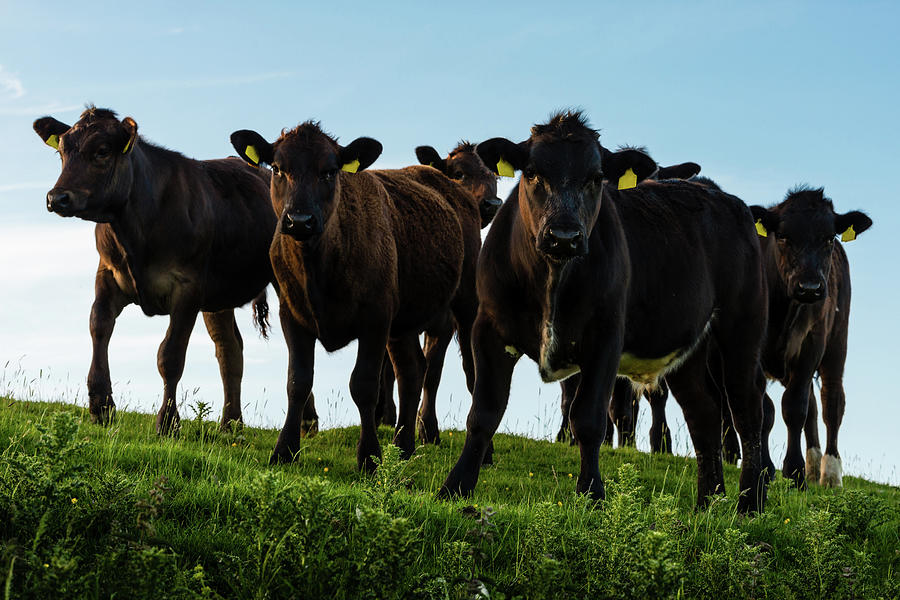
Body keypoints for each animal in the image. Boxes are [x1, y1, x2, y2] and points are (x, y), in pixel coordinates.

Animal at [33, 108, 276, 434]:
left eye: (102, 151)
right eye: (61, 151)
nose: (57, 197)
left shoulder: (188, 287)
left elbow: (170, 355)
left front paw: (168, 422)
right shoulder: (108, 273)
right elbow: (99, 327)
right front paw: (101, 406)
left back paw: (305, 424)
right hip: (218, 299)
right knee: (230, 349)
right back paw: (231, 424)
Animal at [229, 120, 478, 468]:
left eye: (330, 171)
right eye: (277, 168)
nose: (299, 221)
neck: (318, 268)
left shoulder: (376, 318)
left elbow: (363, 385)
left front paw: (369, 458)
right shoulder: (291, 315)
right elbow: (298, 381)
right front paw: (284, 450)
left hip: (466, 302)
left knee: (472, 372)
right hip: (403, 321)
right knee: (412, 370)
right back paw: (402, 448)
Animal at [440, 112, 768, 510]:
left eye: (596, 177)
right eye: (532, 172)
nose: (564, 236)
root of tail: (727, 200)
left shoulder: (606, 336)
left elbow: (589, 418)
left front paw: (592, 494)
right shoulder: (488, 328)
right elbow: (484, 412)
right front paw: (455, 486)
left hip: (742, 329)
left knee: (747, 409)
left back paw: (749, 503)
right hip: (689, 346)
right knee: (703, 412)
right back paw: (709, 502)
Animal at [752, 188, 872, 488]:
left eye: (829, 237)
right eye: (783, 236)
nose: (810, 287)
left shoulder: (812, 344)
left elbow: (795, 407)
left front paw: (793, 471)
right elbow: (766, 409)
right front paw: (765, 468)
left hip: (837, 342)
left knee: (831, 403)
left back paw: (829, 472)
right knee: (814, 406)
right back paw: (813, 463)